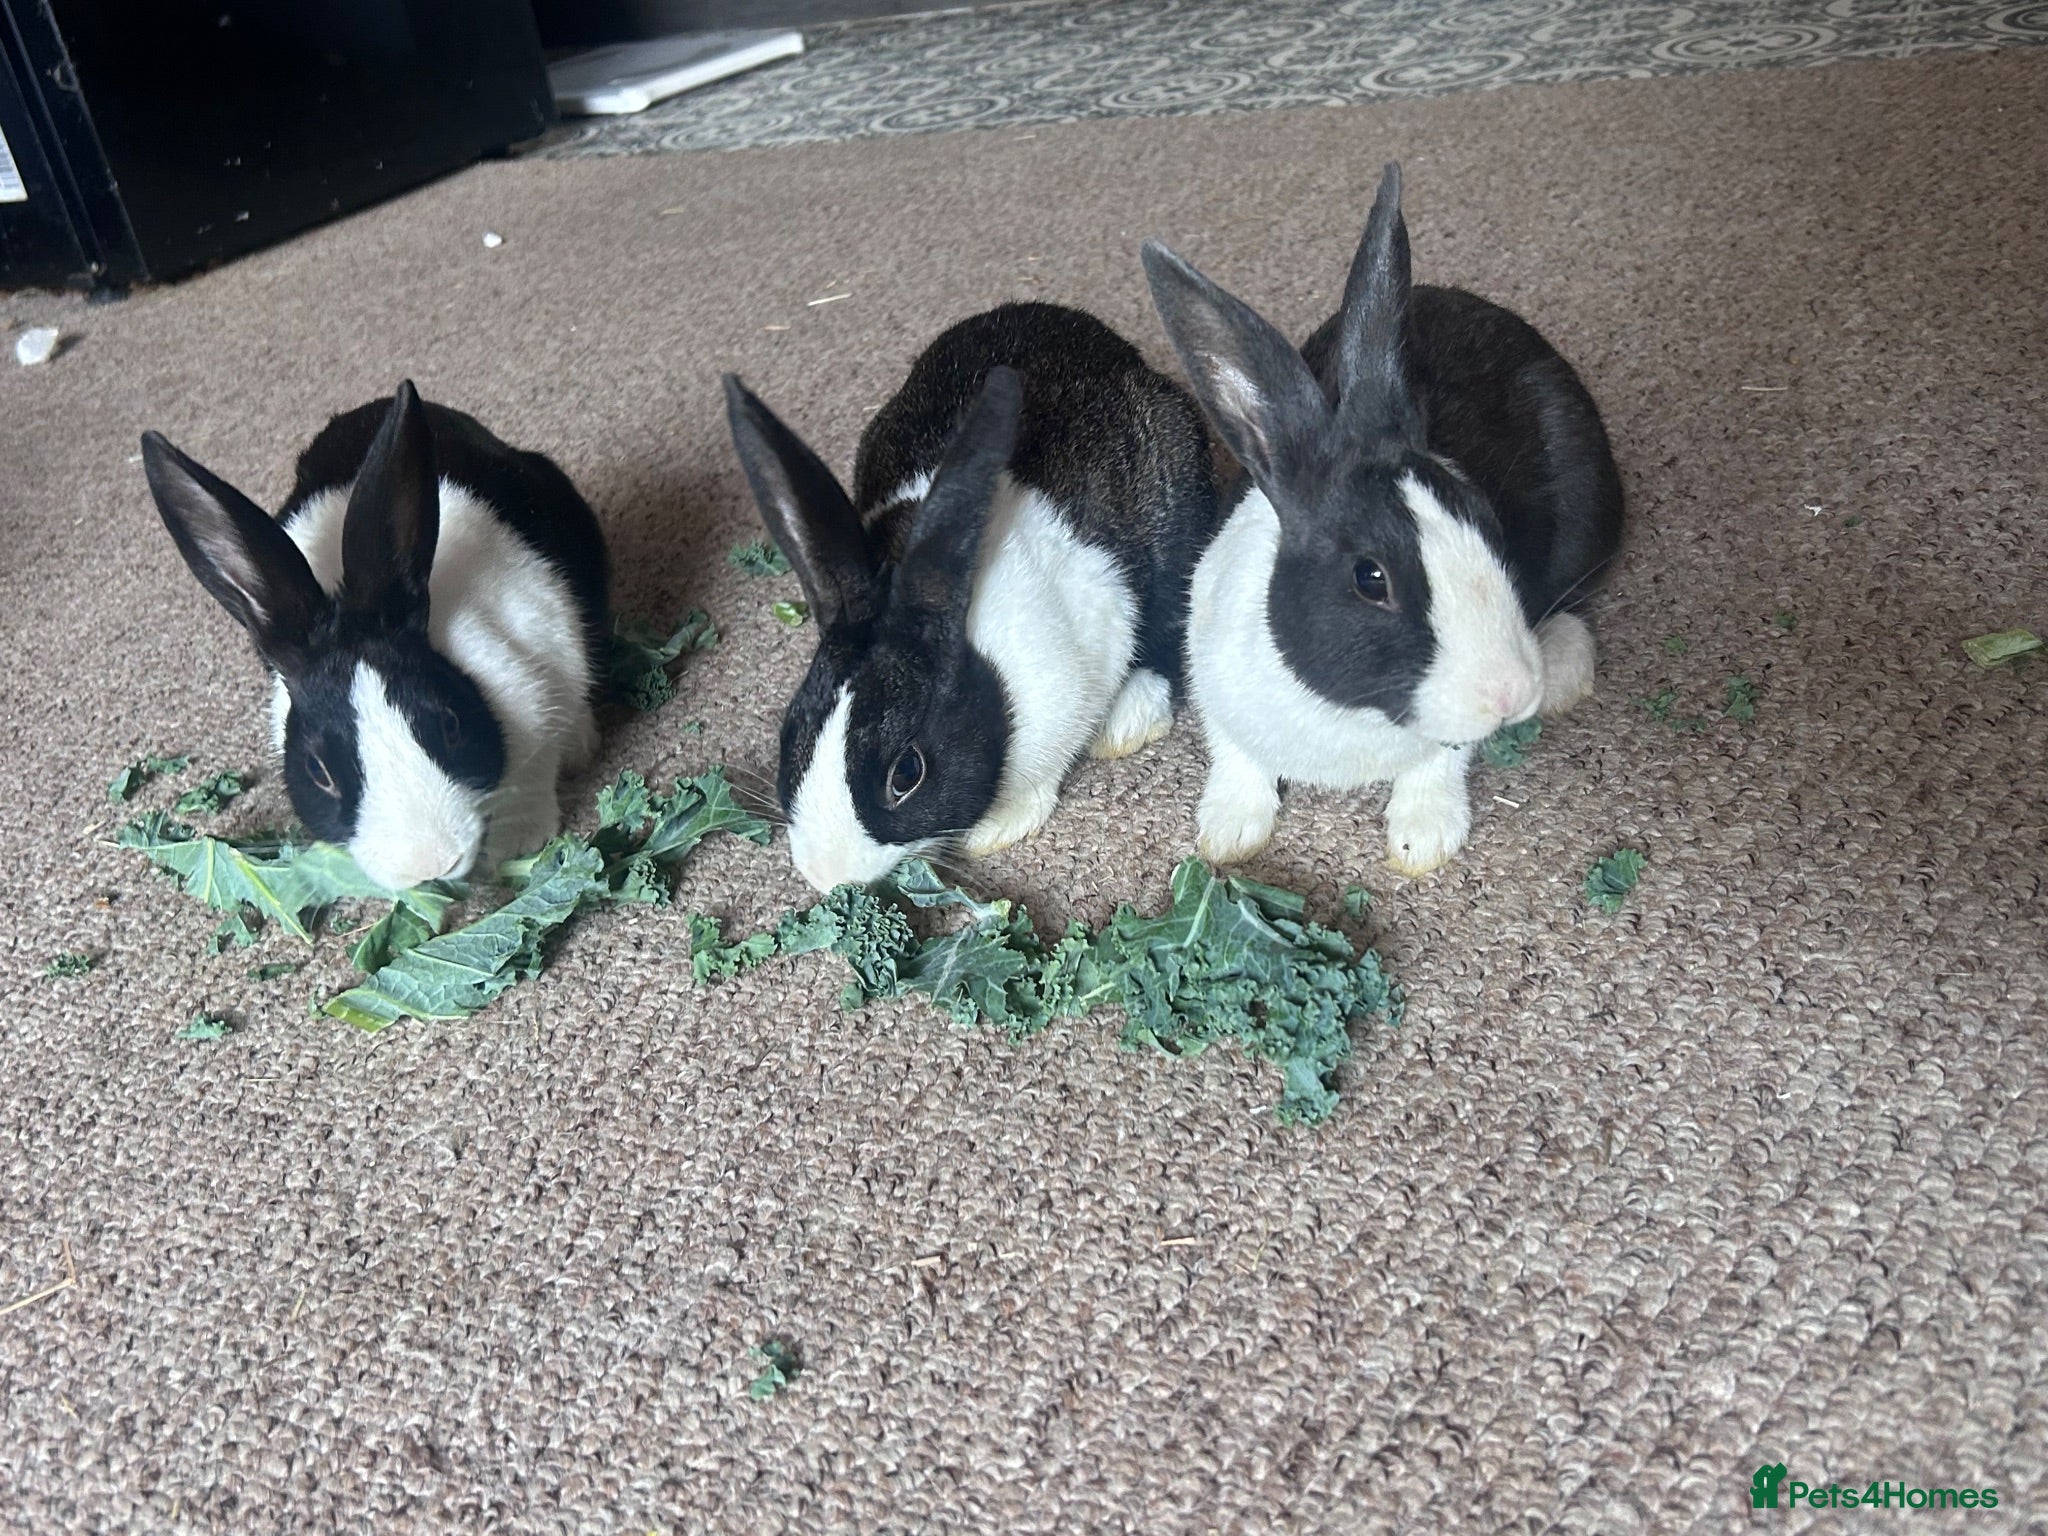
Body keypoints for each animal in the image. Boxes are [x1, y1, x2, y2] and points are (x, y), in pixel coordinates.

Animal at [1142, 162, 1624, 876]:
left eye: (1490, 525)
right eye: (1370, 578)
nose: (1508, 694)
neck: (1352, 715)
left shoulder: (1446, 741)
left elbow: (1439, 765)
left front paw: (1422, 839)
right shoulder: (1217, 692)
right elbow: (1238, 761)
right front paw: (1228, 834)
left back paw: (1562, 667)